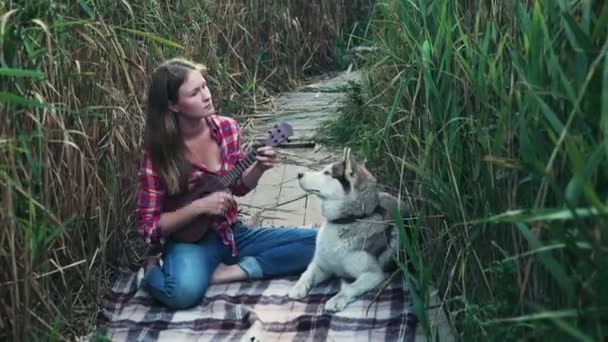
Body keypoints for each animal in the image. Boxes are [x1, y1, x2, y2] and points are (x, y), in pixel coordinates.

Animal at [290, 147, 404, 312]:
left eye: (327, 173)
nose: (299, 174)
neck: (346, 221)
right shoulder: (322, 266)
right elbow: (306, 274)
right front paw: (298, 287)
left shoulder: (373, 275)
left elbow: (350, 288)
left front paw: (336, 300)